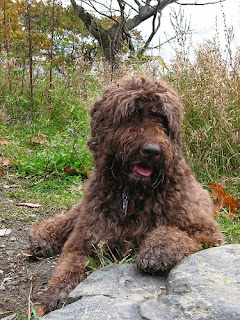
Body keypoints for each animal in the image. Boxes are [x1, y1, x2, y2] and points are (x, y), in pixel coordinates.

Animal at [30, 75, 223, 312]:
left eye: (162, 119)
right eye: (132, 114)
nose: (152, 151)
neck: (133, 194)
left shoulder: (206, 231)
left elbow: (173, 232)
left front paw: (157, 250)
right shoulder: (84, 238)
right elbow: (68, 264)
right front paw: (57, 291)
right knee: (68, 218)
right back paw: (43, 237)